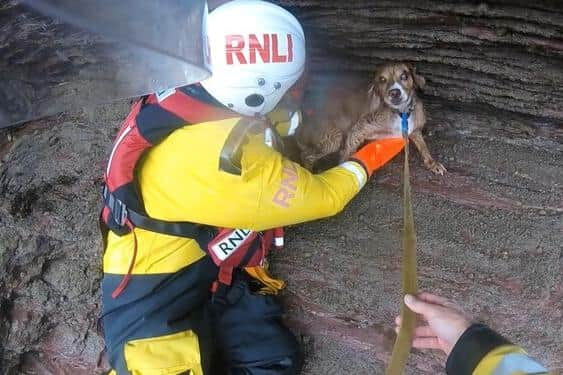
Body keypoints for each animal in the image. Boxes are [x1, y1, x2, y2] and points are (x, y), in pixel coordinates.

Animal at [298, 63, 448, 175]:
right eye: (382, 80)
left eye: (404, 76)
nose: (394, 92)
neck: (401, 113)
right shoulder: (358, 129)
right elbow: (346, 154)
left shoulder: (415, 131)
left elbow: (424, 148)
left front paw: (432, 163)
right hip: (335, 137)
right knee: (306, 155)